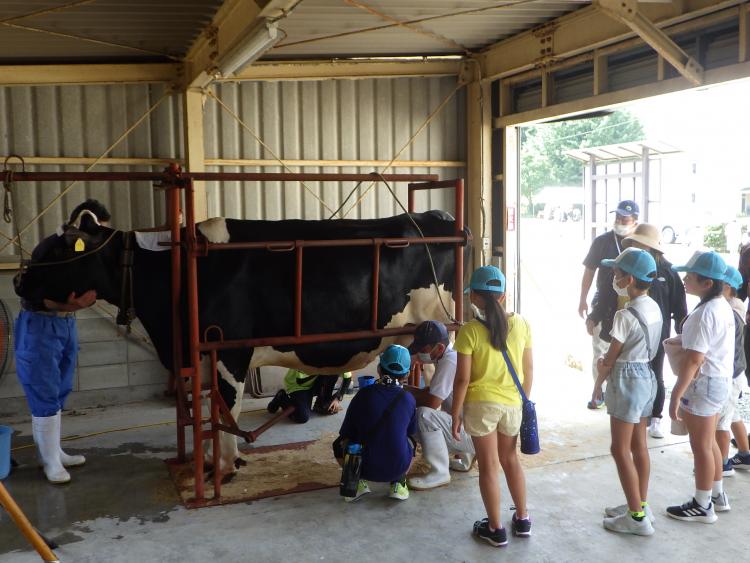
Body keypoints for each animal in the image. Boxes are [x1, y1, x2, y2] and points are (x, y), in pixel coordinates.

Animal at [14, 212, 468, 472]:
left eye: (57, 250)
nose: (18, 281)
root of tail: (440, 216)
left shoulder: (227, 350)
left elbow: (224, 407)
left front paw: (225, 463)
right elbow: (207, 405)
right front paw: (211, 460)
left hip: (442, 326)